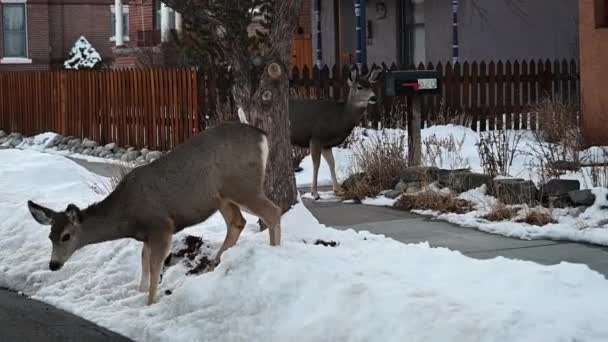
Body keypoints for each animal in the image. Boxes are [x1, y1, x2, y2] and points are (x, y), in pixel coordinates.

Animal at [24, 123, 280, 304]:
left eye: (66, 236)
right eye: (50, 236)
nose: (53, 265)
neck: (127, 215)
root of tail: (262, 135)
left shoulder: (161, 226)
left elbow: (155, 266)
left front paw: (149, 303)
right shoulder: (147, 235)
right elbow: (144, 263)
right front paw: (140, 292)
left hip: (242, 184)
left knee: (273, 211)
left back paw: (274, 251)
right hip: (223, 195)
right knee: (238, 222)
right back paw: (216, 262)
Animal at [290, 66, 380, 199]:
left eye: (371, 86)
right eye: (359, 87)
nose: (374, 97)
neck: (340, 118)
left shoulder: (327, 144)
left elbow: (332, 163)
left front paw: (338, 190)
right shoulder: (316, 137)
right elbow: (316, 164)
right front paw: (315, 193)